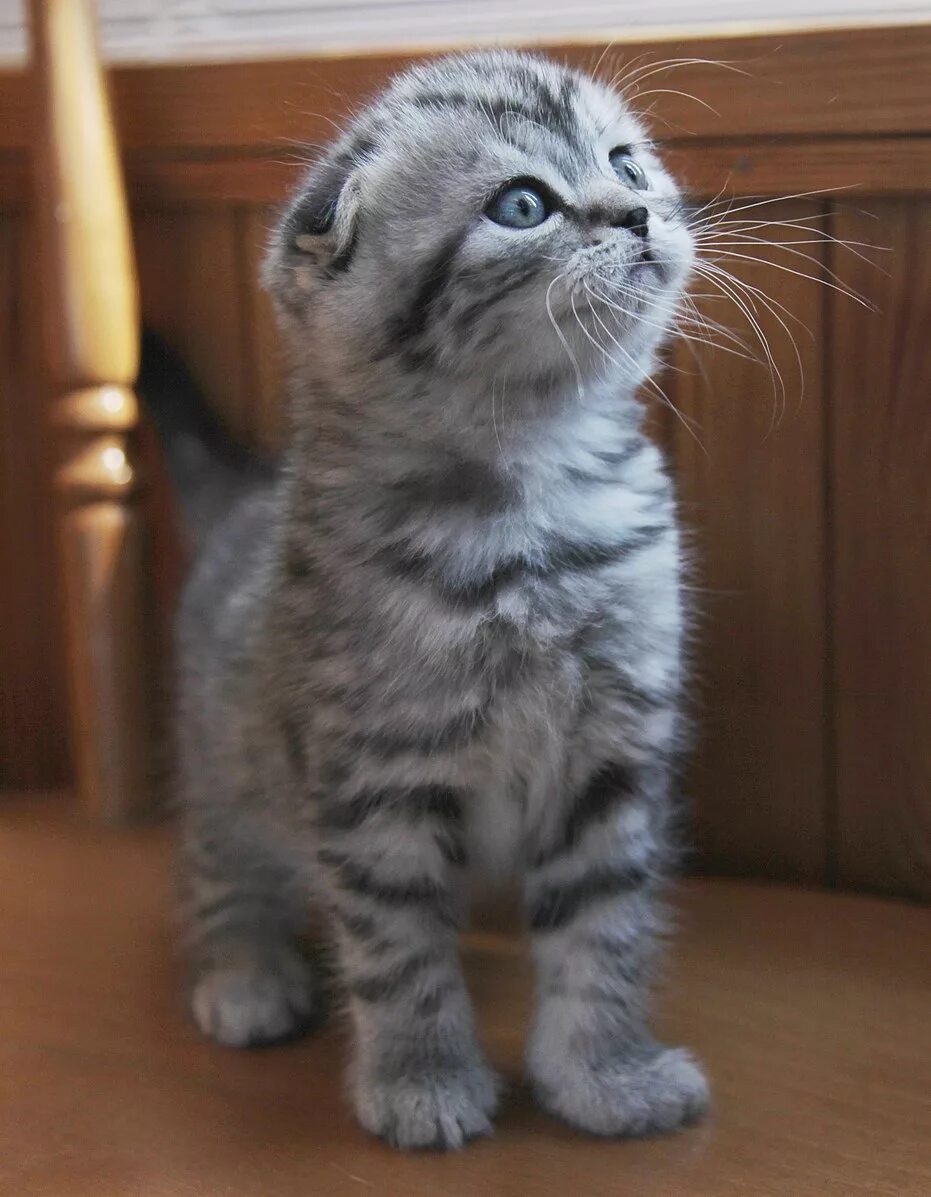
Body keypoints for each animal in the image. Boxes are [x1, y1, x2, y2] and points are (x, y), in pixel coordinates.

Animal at [155, 49, 708, 1149]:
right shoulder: (377, 778)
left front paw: (603, 1074)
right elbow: (397, 947)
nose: (636, 213)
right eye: (522, 205)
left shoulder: (614, 758)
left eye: (625, 162)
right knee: (219, 861)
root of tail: (241, 499)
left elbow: (605, 926)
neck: (530, 507)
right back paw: (243, 972)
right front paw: (420, 1078)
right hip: (227, 751)